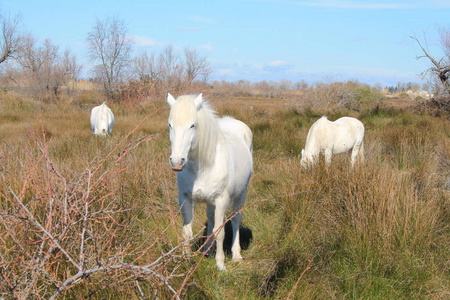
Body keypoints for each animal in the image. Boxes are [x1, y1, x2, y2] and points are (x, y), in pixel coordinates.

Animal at [168, 92, 253, 270]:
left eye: (192, 125)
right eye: (170, 125)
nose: (177, 162)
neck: (202, 167)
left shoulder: (222, 200)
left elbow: (220, 232)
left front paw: (220, 265)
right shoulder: (185, 198)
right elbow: (187, 231)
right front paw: (186, 260)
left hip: (242, 193)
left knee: (235, 220)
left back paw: (236, 255)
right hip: (210, 201)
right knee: (211, 218)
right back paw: (207, 250)